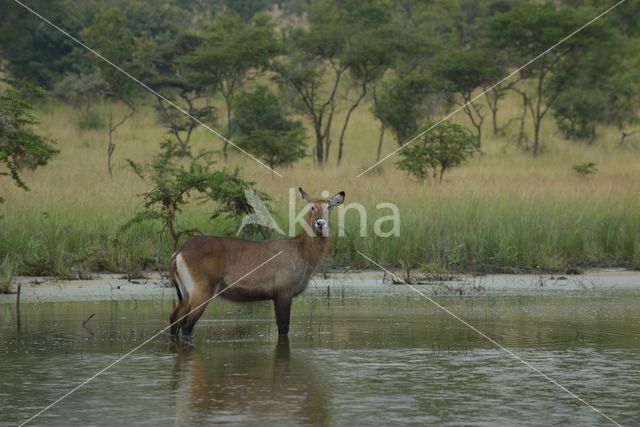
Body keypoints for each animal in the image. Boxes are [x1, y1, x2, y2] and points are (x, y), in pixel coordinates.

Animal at [168, 189, 342, 340]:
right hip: (201, 292)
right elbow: (283, 328)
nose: (320, 223)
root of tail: (180, 251)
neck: (300, 250)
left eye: (329, 207)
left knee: (174, 320)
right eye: (312, 207)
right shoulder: (284, 294)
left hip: (185, 294)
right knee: (186, 326)